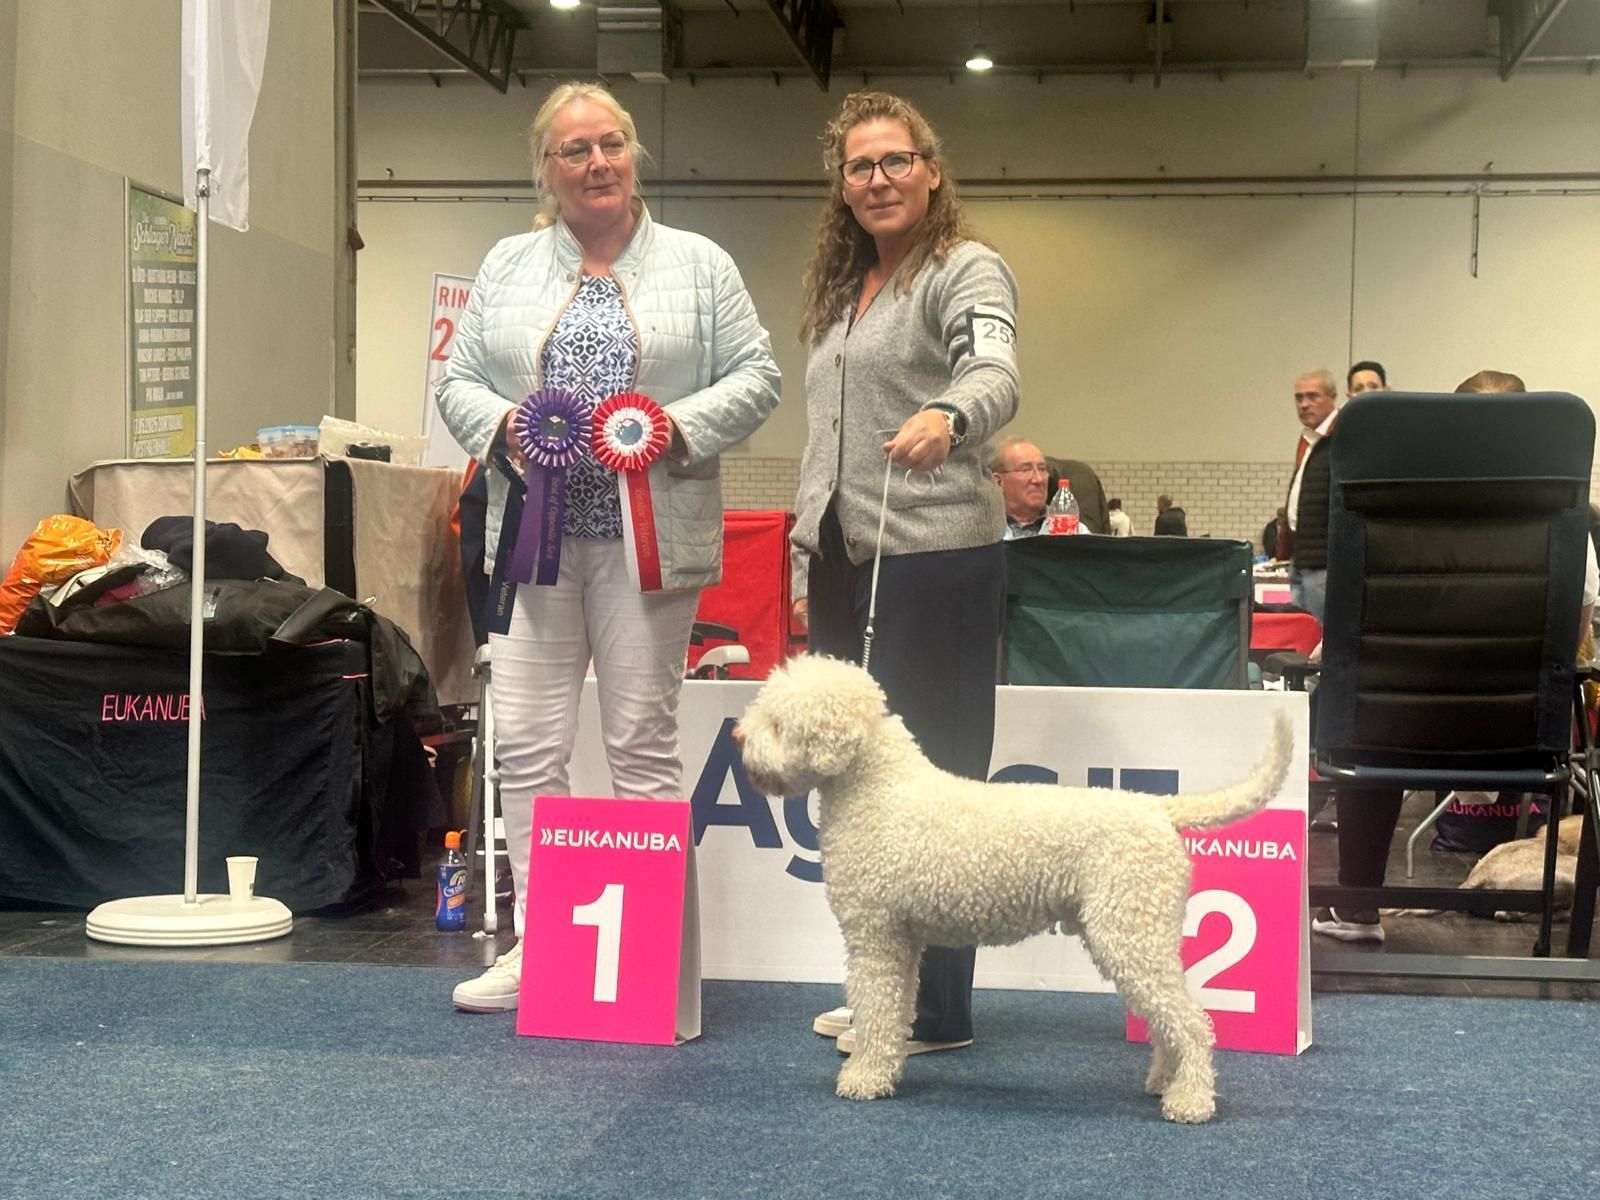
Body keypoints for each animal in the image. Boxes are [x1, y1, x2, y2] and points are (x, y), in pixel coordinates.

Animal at [735, 654, 1294, 1124]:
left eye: (779, 723)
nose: (739, 736)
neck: (878, 790)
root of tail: (1157, 808)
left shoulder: (874, 937)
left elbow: (874, 1010)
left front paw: (863, 1078)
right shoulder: (902, 942)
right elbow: (893, 1013)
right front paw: (886, 1070)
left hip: (1130, 933)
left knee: (1193, 1021)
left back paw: (1191, 1100)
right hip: (1140, 936)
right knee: (1167, 1020)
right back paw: (1164, 1082)